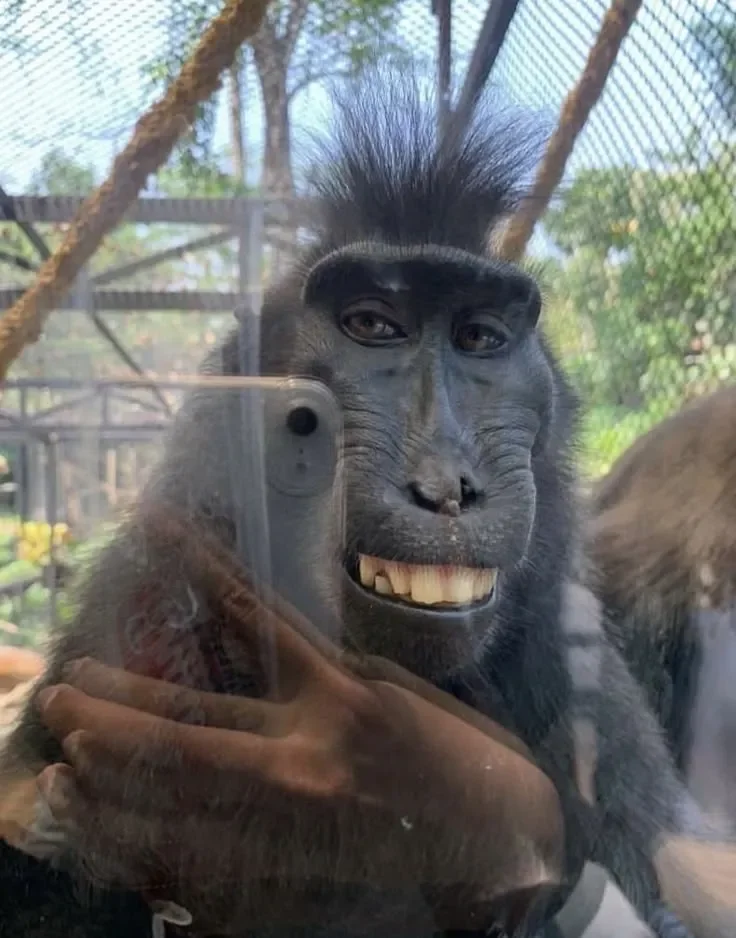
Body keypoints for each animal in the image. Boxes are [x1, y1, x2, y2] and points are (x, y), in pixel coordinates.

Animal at [0, 72, 716, 937]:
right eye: (373, 326)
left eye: (480, 339)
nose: (446, 486)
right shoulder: (138, 608)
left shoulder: (579, 671)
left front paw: (404, 819)